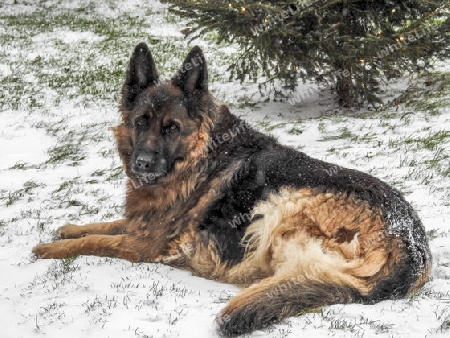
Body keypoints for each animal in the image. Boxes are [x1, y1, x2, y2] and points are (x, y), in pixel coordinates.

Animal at [32, 43, 432, 336]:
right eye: (140, 121)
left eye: (171, 127)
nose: (142, 164)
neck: (202, 155)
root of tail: (413, 249)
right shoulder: (142, 224)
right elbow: (107, 224)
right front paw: (69, 228)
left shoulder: (144, 244)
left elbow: (98, 241)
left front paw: (51, 248)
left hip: (280, 208)